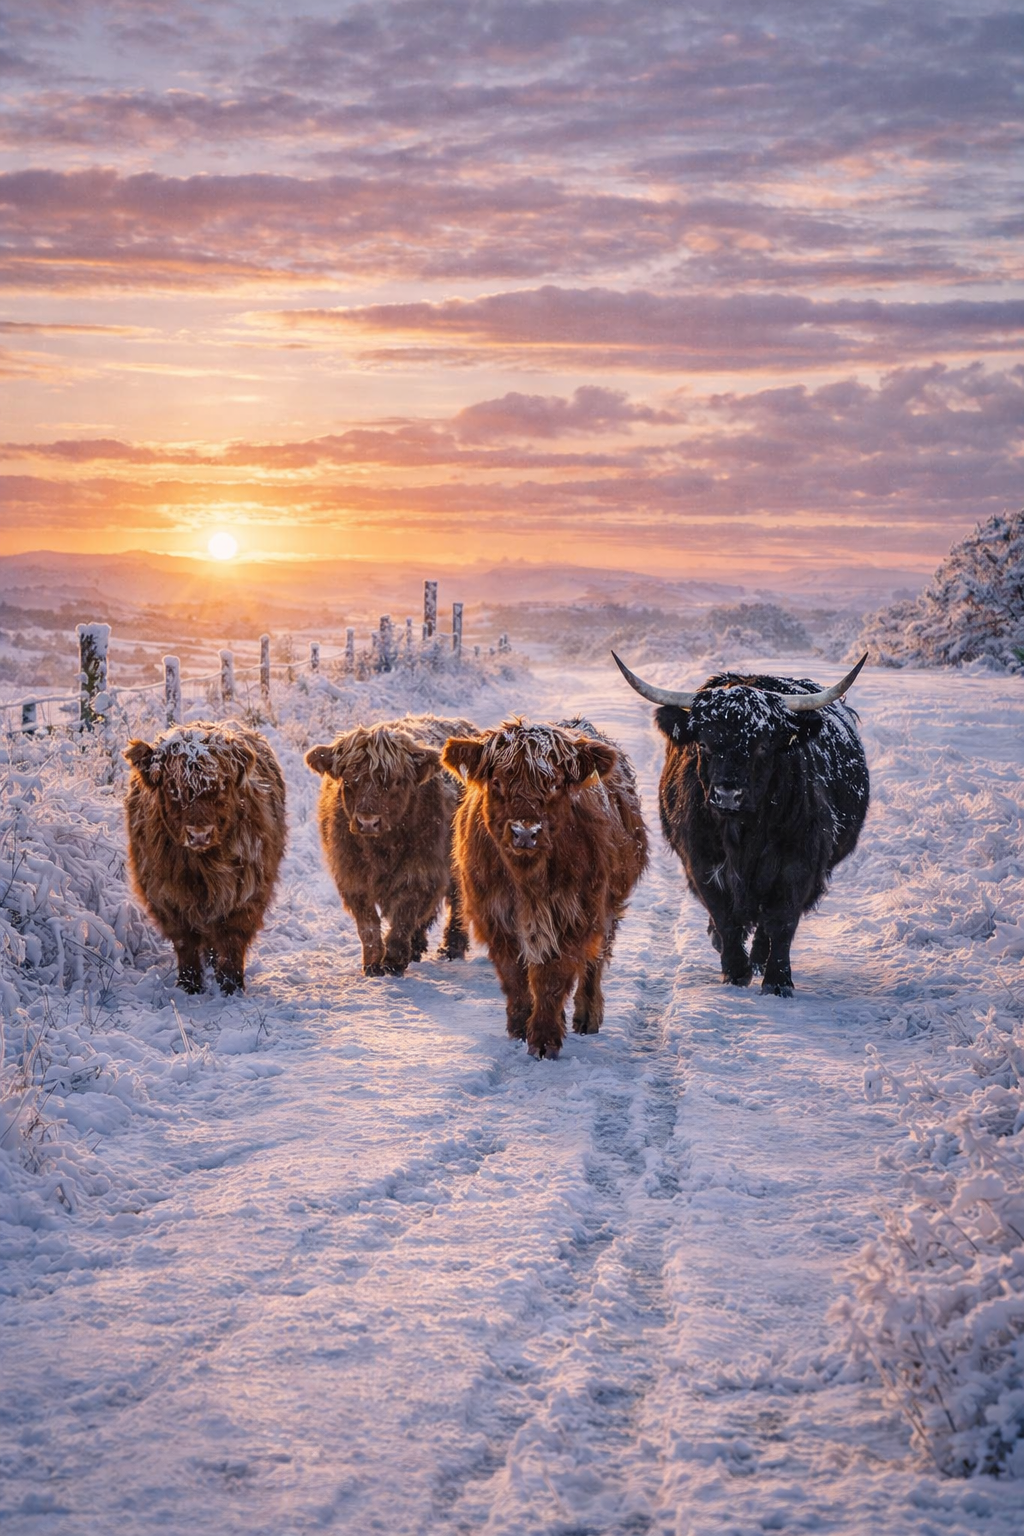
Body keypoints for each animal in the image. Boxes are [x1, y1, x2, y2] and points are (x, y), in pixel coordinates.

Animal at [124, 722, 286, 994]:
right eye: (172, 788)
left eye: (221, 786)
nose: (199, 834)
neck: (202, 870)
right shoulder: (167, 896)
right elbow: (185, 942)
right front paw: (188, 985)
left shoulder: (246, 893)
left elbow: (232, 940)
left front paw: (231, 987)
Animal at [305, 714, 478, 977]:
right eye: (348, 780)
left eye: (396, 781)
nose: (368, 821)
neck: (381, 850)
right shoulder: (352, 876)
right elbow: (368, 924)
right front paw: (373, 963)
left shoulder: (419, 872)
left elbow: (404, 916)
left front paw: (394, 961)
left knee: (457, 903)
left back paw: (451, 948)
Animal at [440, 718, 648, 1059]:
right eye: (497, 782)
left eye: (554, 784)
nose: (525, 832)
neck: (528, 879)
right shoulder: (494, 913)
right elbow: (514, 974)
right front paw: (520, 1027)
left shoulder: (576, 913)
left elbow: (552, 976)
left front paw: (544, 1038)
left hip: (608, 906)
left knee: (594, 960)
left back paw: (586, 1016)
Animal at [613, 653, 870, 996]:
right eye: (704, 744)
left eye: (762, 745)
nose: (727, 793)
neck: (744, 835)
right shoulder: (702, 863)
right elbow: (725, 917)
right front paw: (735, 971)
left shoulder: (798, 864)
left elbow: (782, 921)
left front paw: (777, 981)